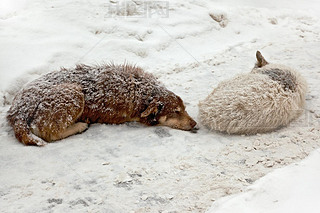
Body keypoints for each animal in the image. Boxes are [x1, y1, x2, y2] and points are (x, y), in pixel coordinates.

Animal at [6, 64, 198, 146]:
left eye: (184, 109)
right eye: (176, 111)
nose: (195, 124)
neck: (142, 93)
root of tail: (17, 110)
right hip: (74, 92)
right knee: (48, 133)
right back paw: (80, 125)